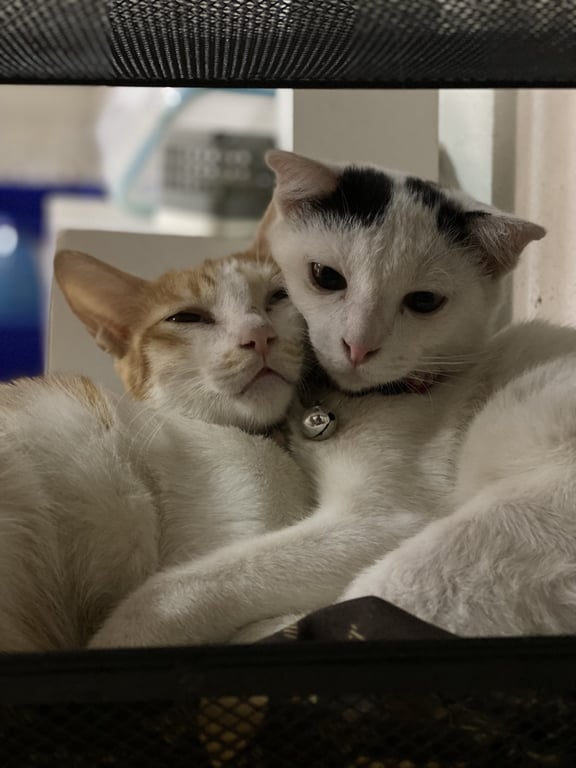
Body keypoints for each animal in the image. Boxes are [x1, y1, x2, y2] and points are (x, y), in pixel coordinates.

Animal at [88, 150, 576, 648]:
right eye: (326, 277)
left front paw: (122, 635)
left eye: (424, 301)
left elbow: (186, 585)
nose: (358, 345)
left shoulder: (382, 520)